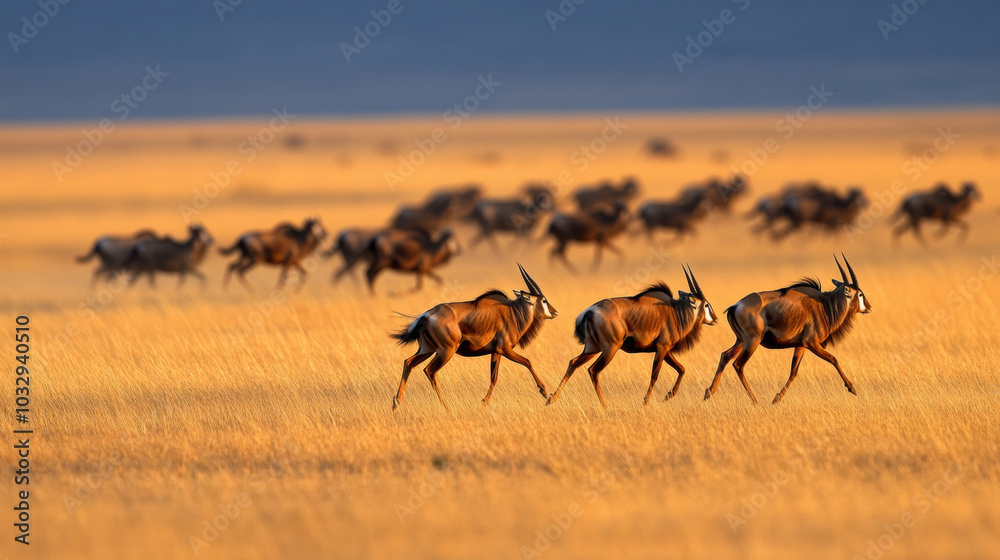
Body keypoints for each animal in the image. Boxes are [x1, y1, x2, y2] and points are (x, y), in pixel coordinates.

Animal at [390, 264, 556, 410]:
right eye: (543, 300)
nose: (555, 312)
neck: (513, 312)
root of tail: (426, 316)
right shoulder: (506, 350)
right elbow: (528, 362)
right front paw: (546, 394)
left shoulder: (496, 352)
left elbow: (494, 377)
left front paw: (484, 402)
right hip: (445, 352)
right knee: (430, 371)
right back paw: (446, 406)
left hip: (427, 350)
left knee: (408, 363)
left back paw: (397, 402)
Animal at [546, 265, 717, 408]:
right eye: (706, 304)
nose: (715, 319)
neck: (675, 311)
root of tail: (590, 311)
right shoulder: (662, 348)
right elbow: (655, 375)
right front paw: (646, 401)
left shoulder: (665, 350)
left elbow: (681, 369)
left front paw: (668, 395)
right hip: (609, 350)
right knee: (593, 370)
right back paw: (604, 405)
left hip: (592, 349)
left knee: (573, 362)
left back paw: (552, 398)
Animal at [704, 255, 872, 405]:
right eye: (860, 293)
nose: (869, 307)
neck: (825, 305)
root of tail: (736, 306)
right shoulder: (812, 344)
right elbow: (833, 359)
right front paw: (851, 387)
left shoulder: (801, 346)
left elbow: (794, 372)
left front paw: (777, 398)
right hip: (752, 342)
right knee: (738, 364)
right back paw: (755, 401)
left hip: (741, 341)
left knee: (725, 355)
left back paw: (709, 392)